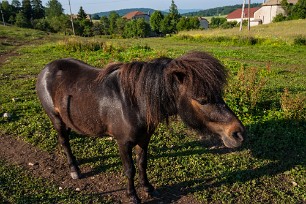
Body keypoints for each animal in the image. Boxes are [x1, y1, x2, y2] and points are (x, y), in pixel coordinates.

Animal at [36, 50, 246, 202]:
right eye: (202, 100)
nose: (238, 133)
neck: (135, 103)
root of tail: (46, 69)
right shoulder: (122, 142)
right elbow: (130, 169)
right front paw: (133, 195)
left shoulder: (144, 139)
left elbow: (142, 163)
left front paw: (148, 188)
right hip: (56, 119)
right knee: (64, 142)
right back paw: (74, 169)